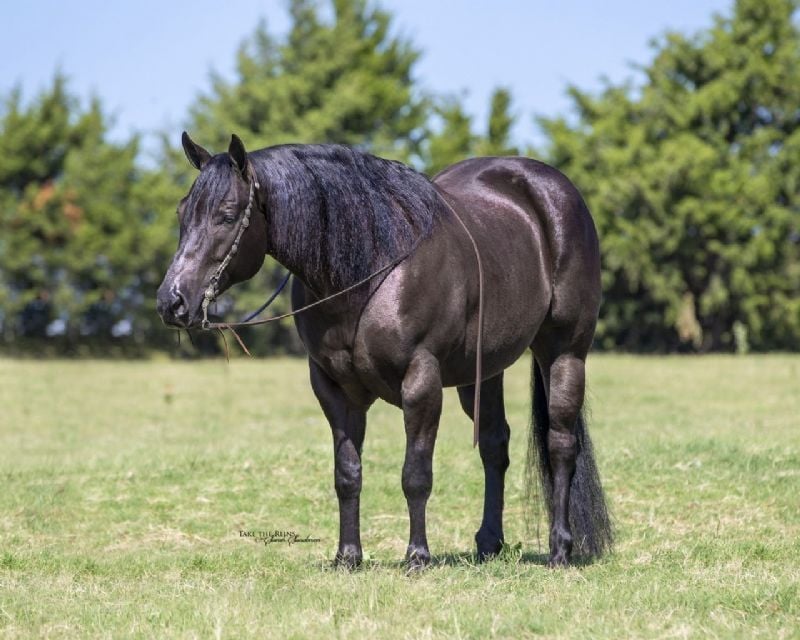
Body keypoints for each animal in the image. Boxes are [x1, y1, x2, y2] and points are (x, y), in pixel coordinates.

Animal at [156, 132, 612, 568]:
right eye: (181, 212)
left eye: (227, 213)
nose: (171, 302)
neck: (369, 269)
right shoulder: (333, 389)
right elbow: (347, 474)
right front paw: (348, 556)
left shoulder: (422, 383)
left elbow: (415, 475)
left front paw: (418, 556)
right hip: (481, 373)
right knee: (494, 444)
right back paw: (488, 544)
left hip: (564, 352)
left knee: (560, 445)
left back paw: (560, 550)